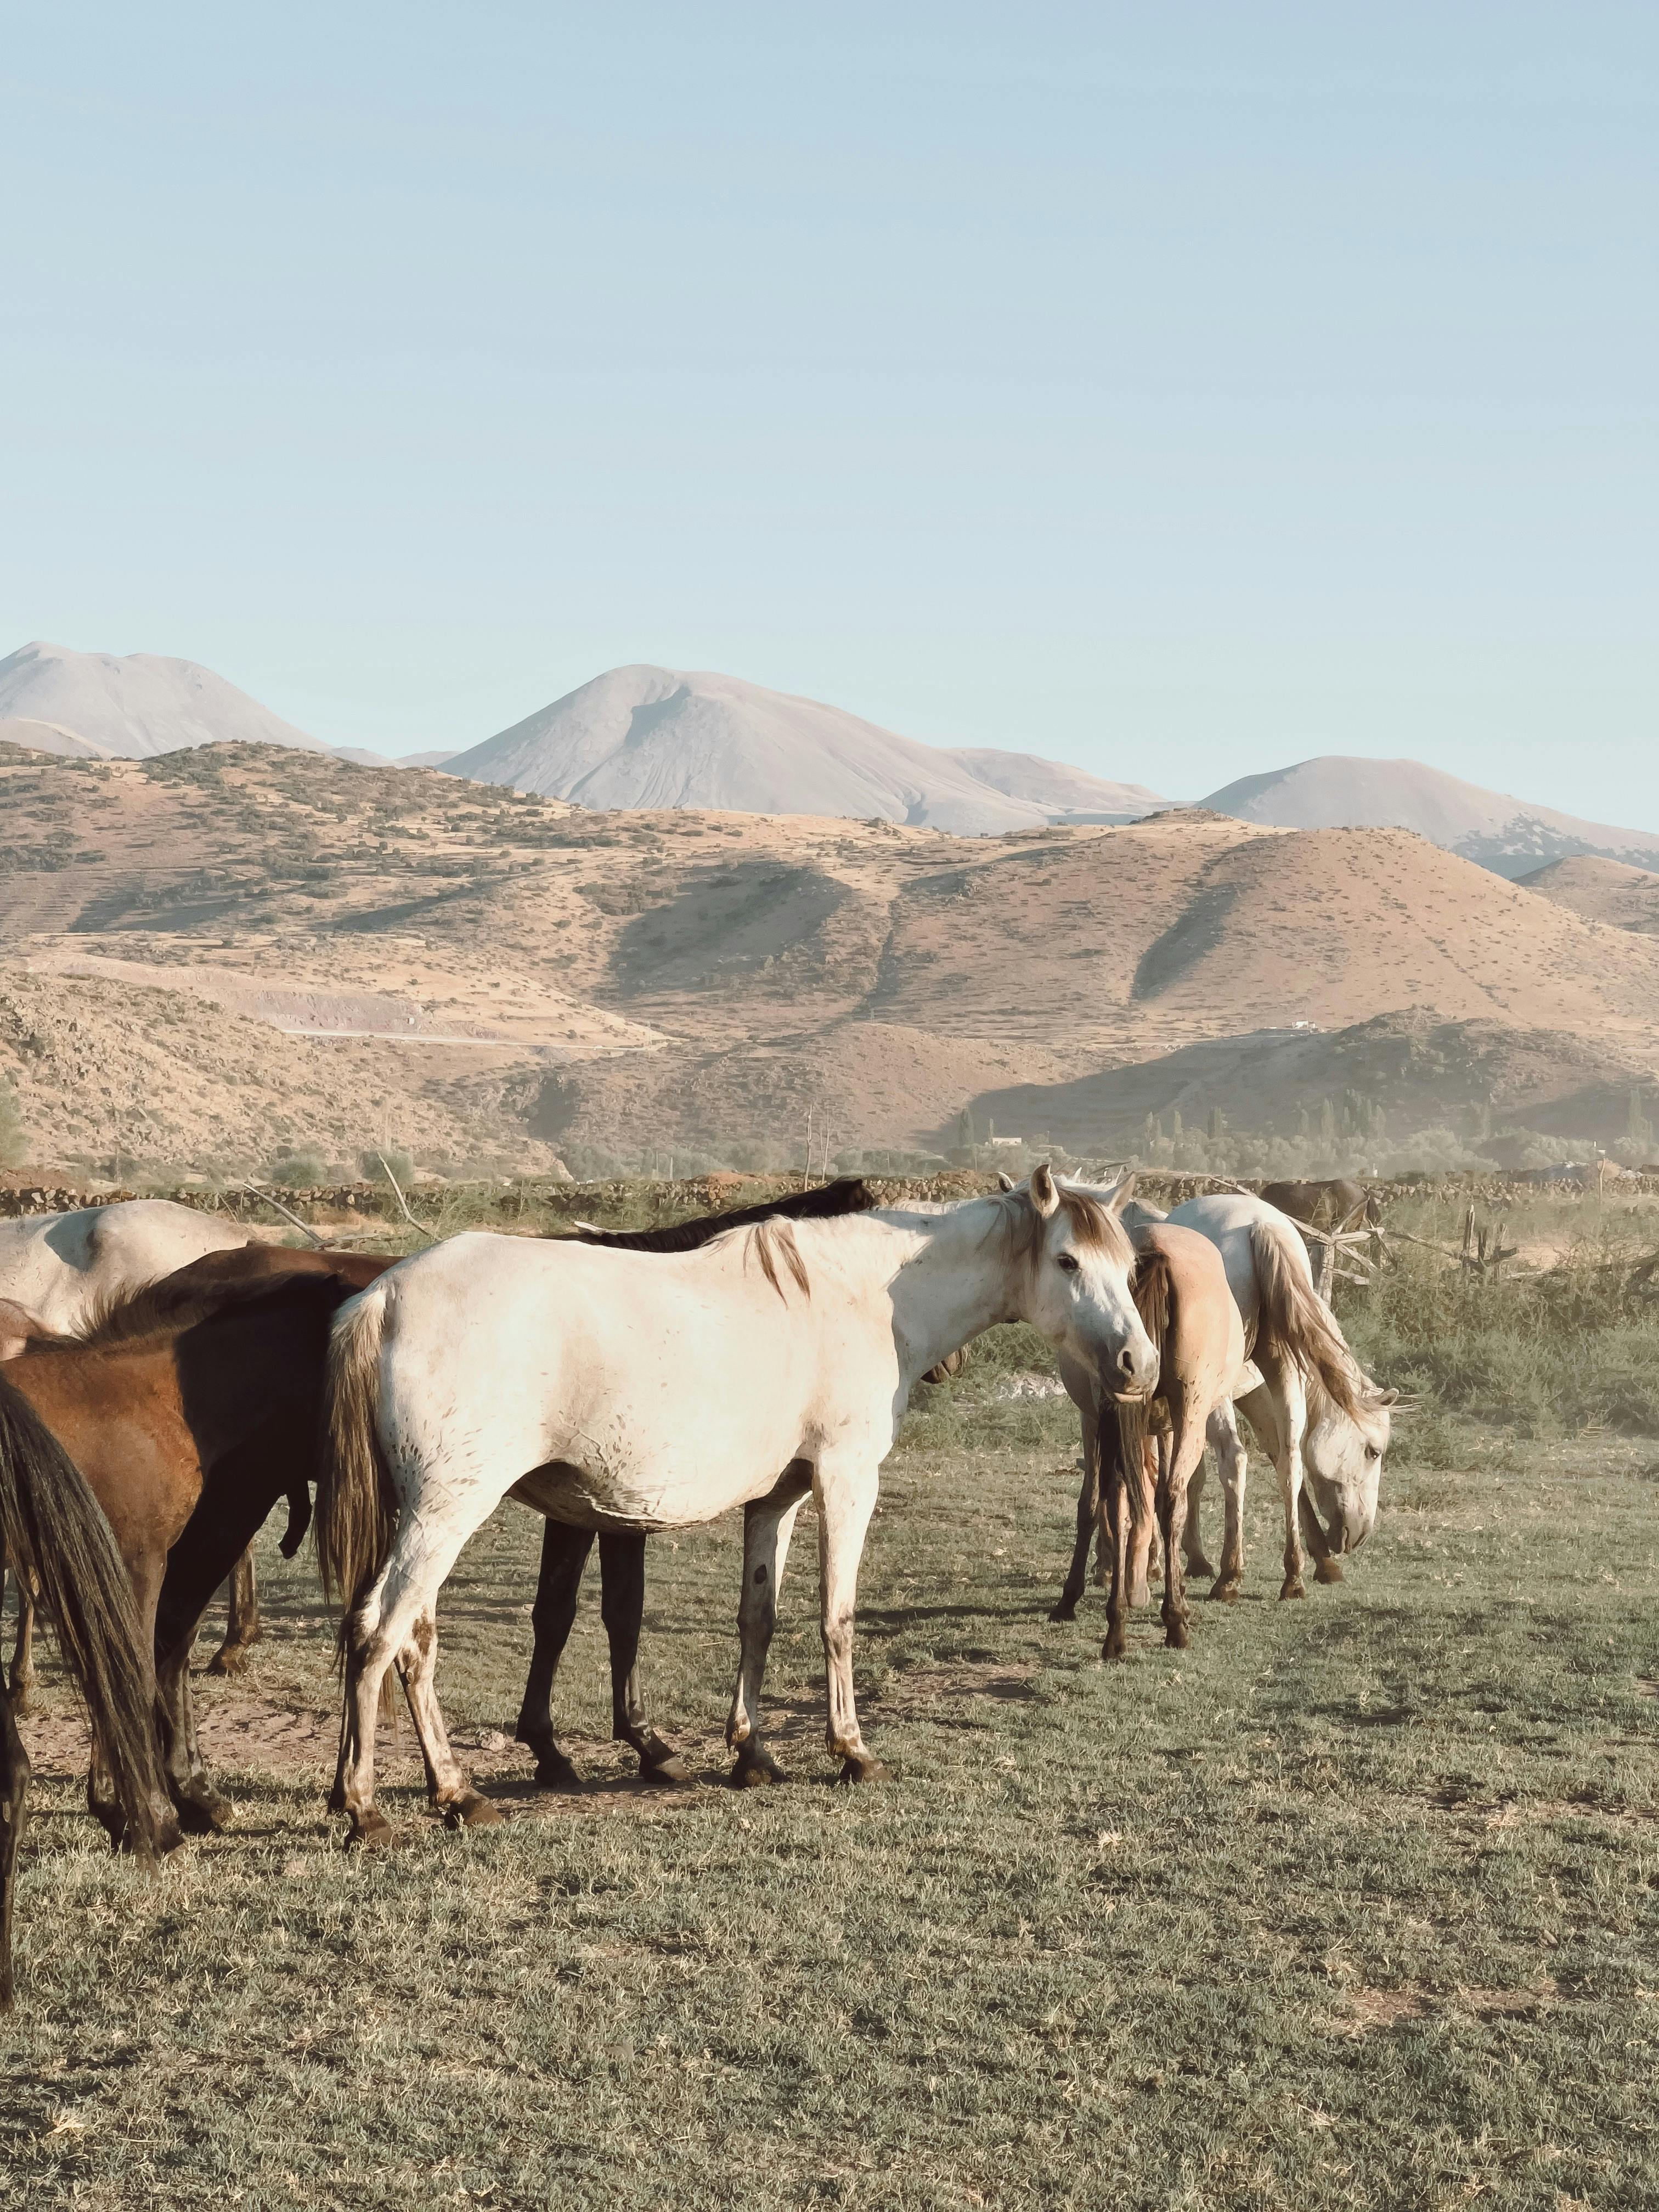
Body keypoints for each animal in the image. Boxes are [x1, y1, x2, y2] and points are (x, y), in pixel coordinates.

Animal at [314, 1165, 1155, 1844]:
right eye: (1068, 1259)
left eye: (1127, 1265)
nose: (1138, 1365)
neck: (858, 1300)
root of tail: (386, 1295)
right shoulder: (846, 1479)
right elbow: (836, 1618)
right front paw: (851, 1751)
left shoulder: (776, 1500)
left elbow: (759, 1618)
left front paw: (751, 1751)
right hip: (446, 1515)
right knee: (382, 1632)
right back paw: (369, 1806)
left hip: (426, 1517)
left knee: (410, 1641)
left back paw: (451, 1794)